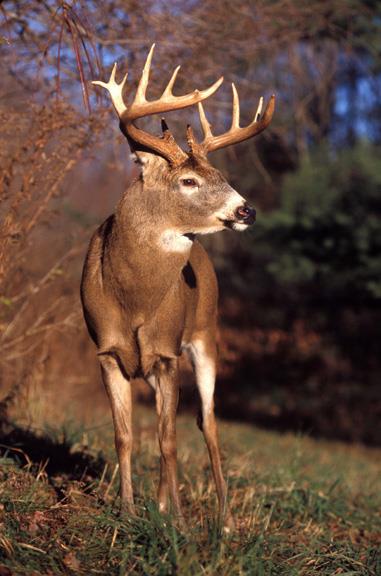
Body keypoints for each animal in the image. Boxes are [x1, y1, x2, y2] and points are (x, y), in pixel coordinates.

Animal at [81, 45, 274, 532]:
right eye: (189, 180)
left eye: (221, 174)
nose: (247, 210)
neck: (133, 298)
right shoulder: (108, 351)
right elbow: (125, 436)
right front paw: (130, 512)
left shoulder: (167, 352)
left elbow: (169, 441)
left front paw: (180, 526)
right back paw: (165, 506)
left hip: (205, 335)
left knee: (208, 422)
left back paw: (223, 521)